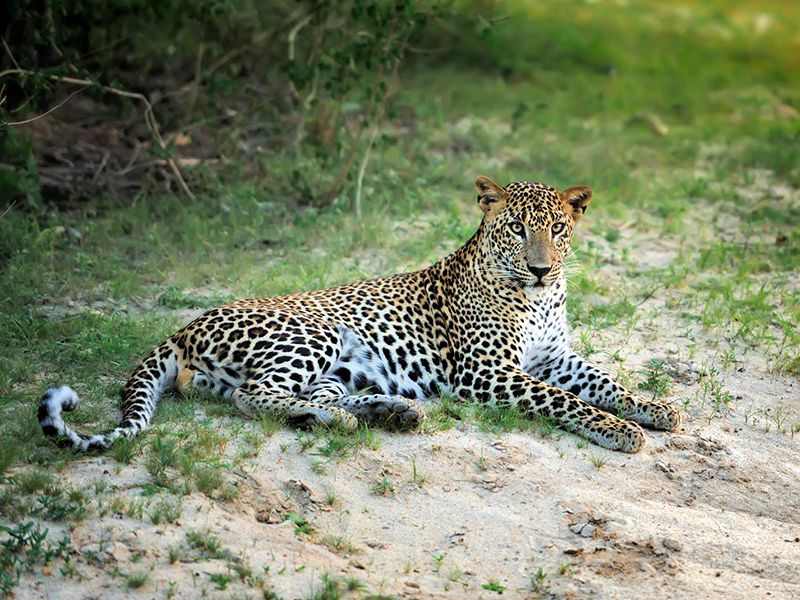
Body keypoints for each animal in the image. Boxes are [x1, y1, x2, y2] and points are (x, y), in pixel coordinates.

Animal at [39, 176, 680, 452]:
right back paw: (363, 420)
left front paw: (657, 409)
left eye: (558, 230)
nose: (542, 269)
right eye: (518, 229)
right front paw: (620, 431)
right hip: (313, 332)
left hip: (334, 367)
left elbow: (605, 381)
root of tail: (182, 327)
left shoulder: (555, 357)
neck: (539, 297)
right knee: (255, 398)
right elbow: (566, 401)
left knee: (306, 398)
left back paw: (391, 413)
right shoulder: (489, 373)